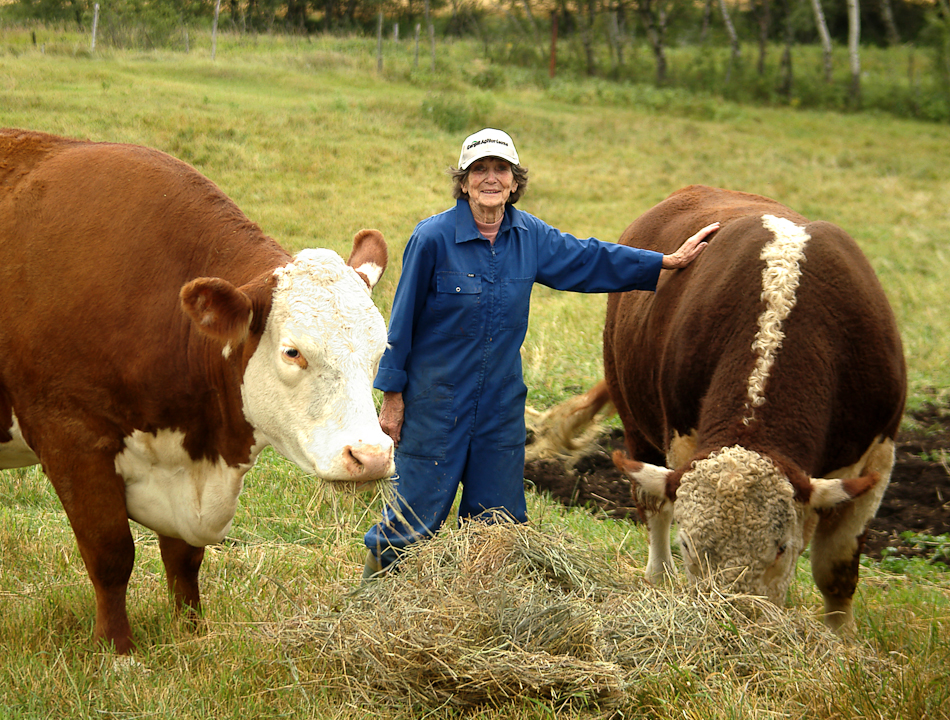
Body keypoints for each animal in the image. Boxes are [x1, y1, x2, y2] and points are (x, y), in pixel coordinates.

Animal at [0, 128, 394, 652]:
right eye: (292, 352)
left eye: (380, 348)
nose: (371, 456)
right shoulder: (70, 437)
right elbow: (110, 554)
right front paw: (117, 649)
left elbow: (184, 559)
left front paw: (191, 633)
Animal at [604, 184, 908, 632]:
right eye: (688, 545)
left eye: (781, 547)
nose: (734, 620)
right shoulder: (683, 439)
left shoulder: (877, 458)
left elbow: (835, 569)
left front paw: (840, 640)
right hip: (634, 423)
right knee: (653, 505)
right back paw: (658, 575)